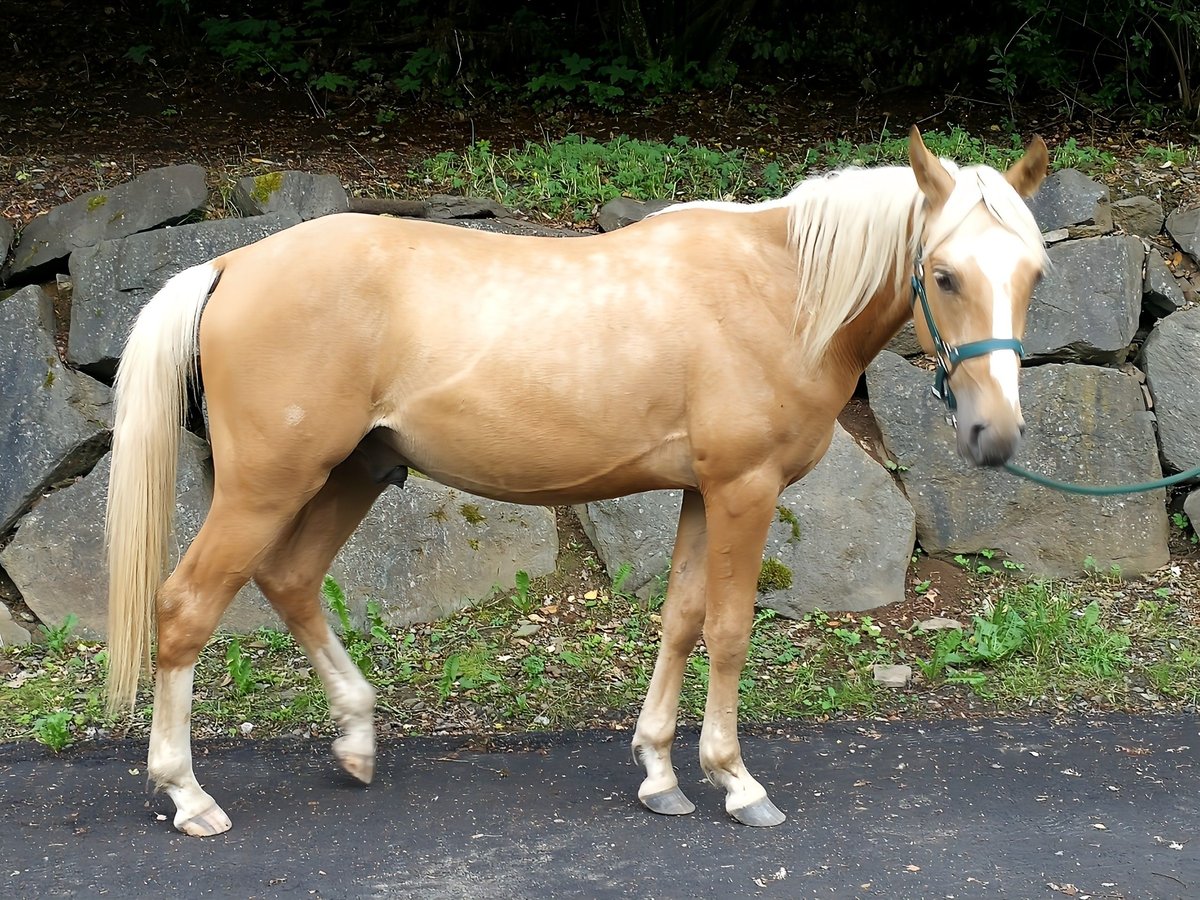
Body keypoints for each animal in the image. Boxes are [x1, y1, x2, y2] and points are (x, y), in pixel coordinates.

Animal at [103, 127, 1046, 840]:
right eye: (944, 274)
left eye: (1033, 274)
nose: (994, 435)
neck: (778, 288)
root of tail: (229, 265)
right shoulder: (744, 488)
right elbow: (729, 630)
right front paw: (736, 781)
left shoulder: (703, 493)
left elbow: (680, 620)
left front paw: (660, 772)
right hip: (268, 486)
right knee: (185, 607)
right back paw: (188, 793)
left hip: (351, 475)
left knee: (291, 580)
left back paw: (358, 739)